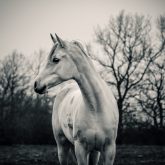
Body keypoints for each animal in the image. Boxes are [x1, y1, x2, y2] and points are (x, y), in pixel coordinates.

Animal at [34, 34, 118, 164]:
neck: (96, 109)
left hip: (94, 152)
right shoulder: (81, 149)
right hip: (62, 146)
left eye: (55, 59)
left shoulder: (109, 150)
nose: (36, 84)